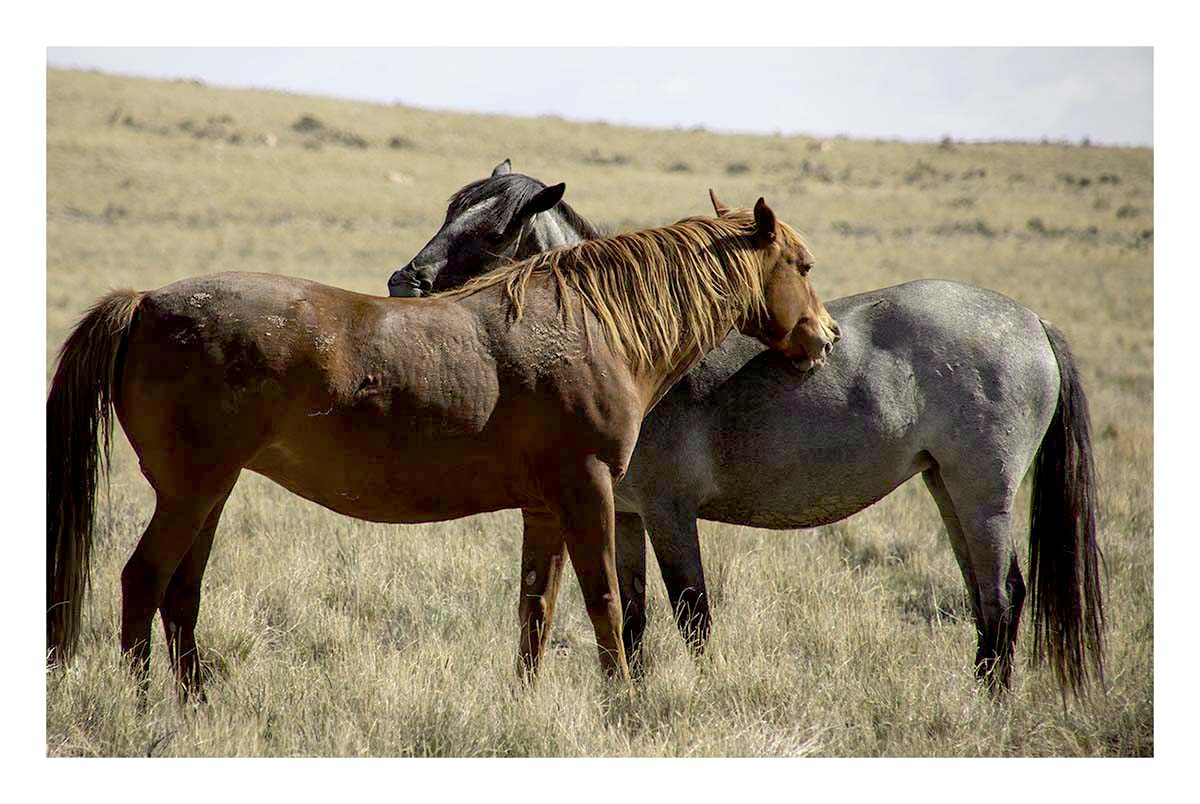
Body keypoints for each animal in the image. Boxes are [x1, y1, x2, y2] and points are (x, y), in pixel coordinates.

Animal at [46, 196, 838, 699]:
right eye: (801, 265)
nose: (825, 338)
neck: (591, 325)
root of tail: (146, 303)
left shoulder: (546, 509)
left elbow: (535, 610)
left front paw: (525, 706)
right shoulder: (589, 493)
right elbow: (607, 605)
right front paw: (623, 707)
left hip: (210, 493)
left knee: (181, 595)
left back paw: (194, 708)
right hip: (190, 494)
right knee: (142, 583)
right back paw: (146, 708)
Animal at [387, 161, 1105, 700]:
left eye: (491, 233)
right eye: (449, 213)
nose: (401, 283)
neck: (629, 340)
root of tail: (1032, 321)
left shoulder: (670, 513)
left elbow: (691, 614)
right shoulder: (626, 513)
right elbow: (633, 619)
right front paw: (628, 700)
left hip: (983, 495)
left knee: (1002, 597)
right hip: (946, 488)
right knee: (987, 599)